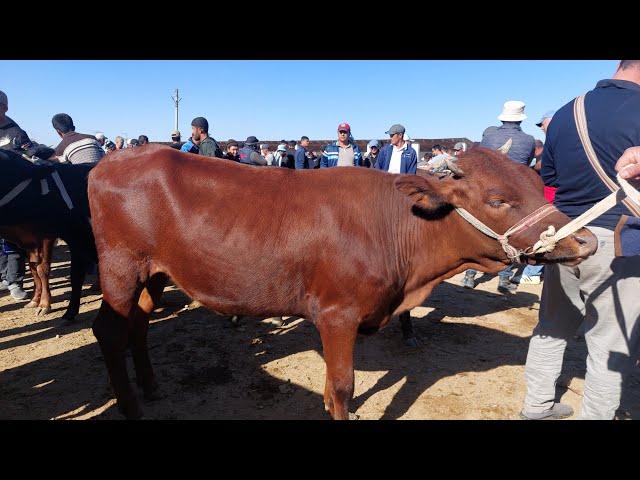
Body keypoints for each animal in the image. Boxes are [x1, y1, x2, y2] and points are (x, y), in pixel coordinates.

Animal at [0, 150, 96, 322]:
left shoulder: (49, 238)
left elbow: (44, 270)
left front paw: (45, 304)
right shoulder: (29, 243)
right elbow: (33, 269)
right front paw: (35, 300)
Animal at [87, 145, 596, 420]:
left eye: (536, 181)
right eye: (497, 199)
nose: (586, 240)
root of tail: (114, 160)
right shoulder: (337, 315)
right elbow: (341, 386)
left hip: (153, 273)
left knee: (139, 323)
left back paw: (150, 386)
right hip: (120, 266)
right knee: (109, 330)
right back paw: (131, 406)